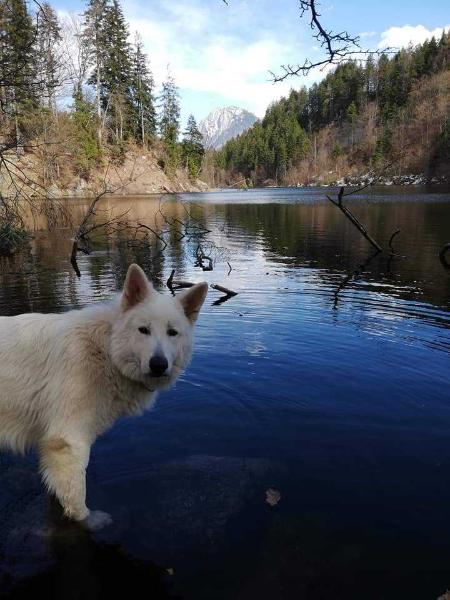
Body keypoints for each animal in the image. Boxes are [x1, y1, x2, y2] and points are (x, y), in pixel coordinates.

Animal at [0, 264, 207, 528]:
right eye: (143, 330)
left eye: (173, 333)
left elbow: (58, 489)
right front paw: (91, 521)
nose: (158, 365)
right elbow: (77, 497)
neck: (105, 350)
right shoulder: (70, 442)